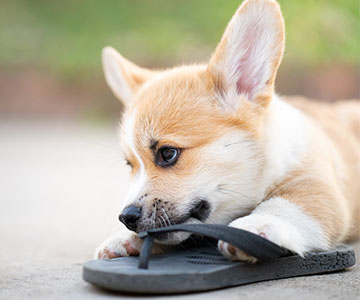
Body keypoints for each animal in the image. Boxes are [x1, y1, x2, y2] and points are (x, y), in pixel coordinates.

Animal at [95, 0, 360, 262]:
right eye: (130, 164)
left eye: (168, 153)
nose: (127, 218)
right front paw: (124, 238)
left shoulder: (317, 188)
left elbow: (283, 206)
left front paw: (255, 225)